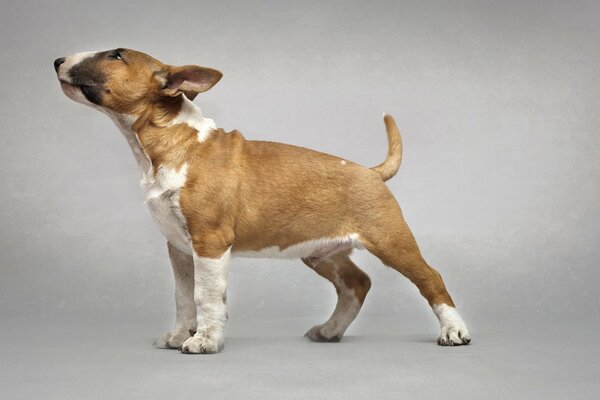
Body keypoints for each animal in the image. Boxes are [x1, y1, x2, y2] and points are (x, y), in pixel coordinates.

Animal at [54, 47, 472, 354]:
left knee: (430, 278)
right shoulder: (179, 248)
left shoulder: (209, 242)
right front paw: (178, 336)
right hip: (322, 252)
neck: (171, 142)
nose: (58, 61)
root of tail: (371, 172)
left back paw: (454, 332)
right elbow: (183, 296)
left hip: (391, 240)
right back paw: (330, 330)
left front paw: (204, 341)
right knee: (357, 283)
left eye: (116, 55)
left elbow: (206, 296)